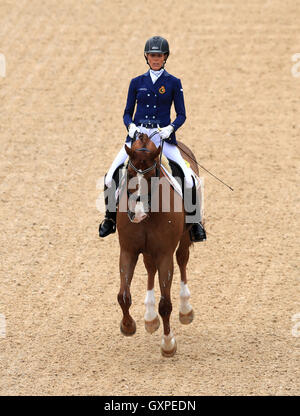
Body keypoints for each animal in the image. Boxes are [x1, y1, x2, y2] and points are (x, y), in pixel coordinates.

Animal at [116, 133, 200, 358]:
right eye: (129, 173)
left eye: (151, 175)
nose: (136, 213)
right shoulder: (128, 250)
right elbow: (123, 295)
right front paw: (128, 326)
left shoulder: (164, 254)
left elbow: (166, 304)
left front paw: (168, 344)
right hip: (147, 251)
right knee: (150, 269)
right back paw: (150, 318)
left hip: (184, 238)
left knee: (182, 260)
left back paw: (185, 310)